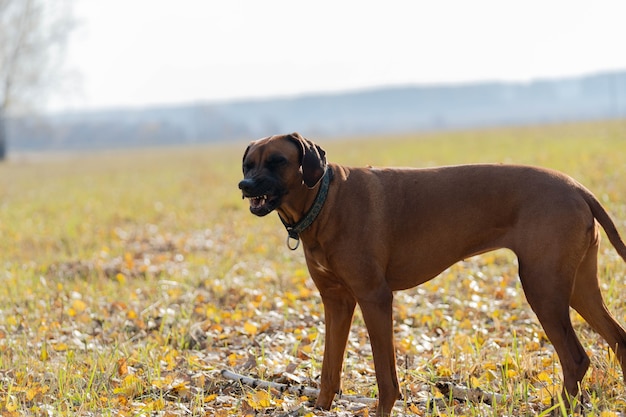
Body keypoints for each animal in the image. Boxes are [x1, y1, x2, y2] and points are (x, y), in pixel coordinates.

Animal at [238, 132, 624, 414]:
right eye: (247, 164)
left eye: (277, 161)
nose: (245, 186)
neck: (325, 200)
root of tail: (577, 187)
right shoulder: (336, 302)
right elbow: (329, 369)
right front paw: (319, 408)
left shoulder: (374, 298)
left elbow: (385, 376)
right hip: (577, 287)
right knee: (618, 339)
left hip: (542, 287)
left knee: (576, 359)